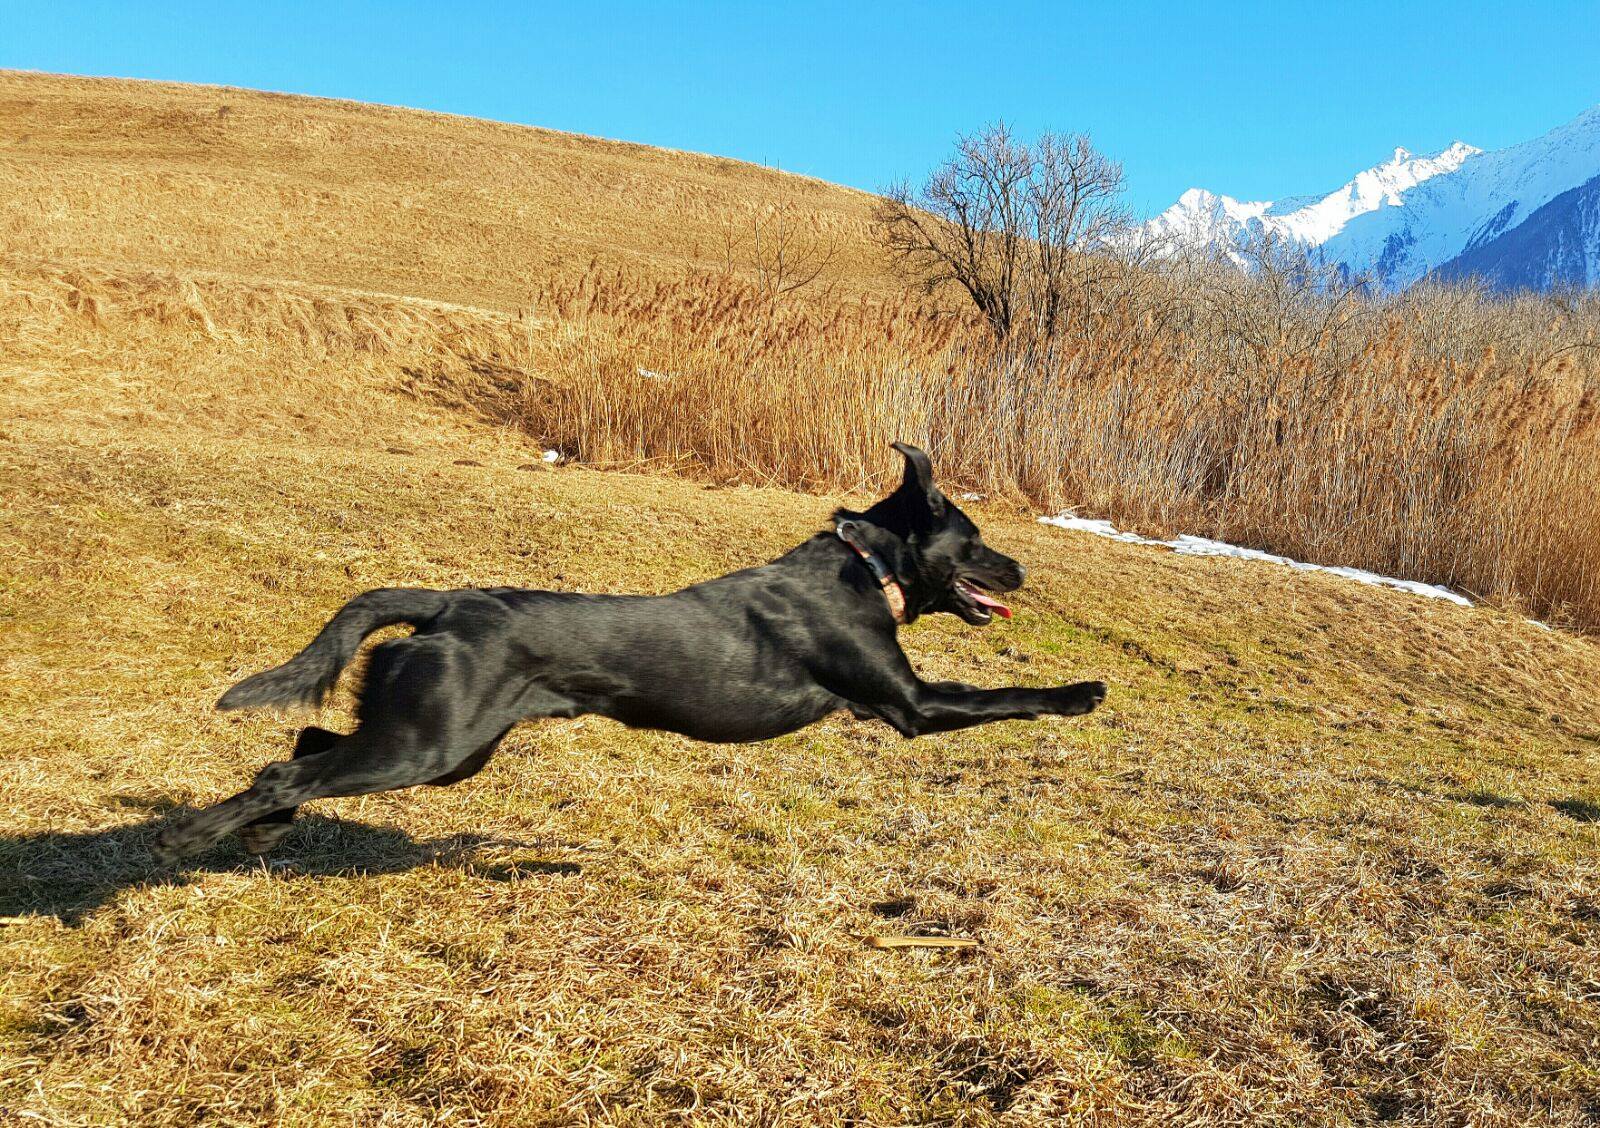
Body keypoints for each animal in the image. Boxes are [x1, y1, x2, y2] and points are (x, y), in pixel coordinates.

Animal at [156, 444, 1107, 857]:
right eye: (976, 540)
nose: (1023, 569)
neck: (866, 568)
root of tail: (447, 601)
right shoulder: (910, 705)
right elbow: (1002, 696)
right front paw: (1083, 693)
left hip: (441, 747)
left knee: (307, 749)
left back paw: (259, 830)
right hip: (426, 745)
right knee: (289, 769)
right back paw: (188, 840)